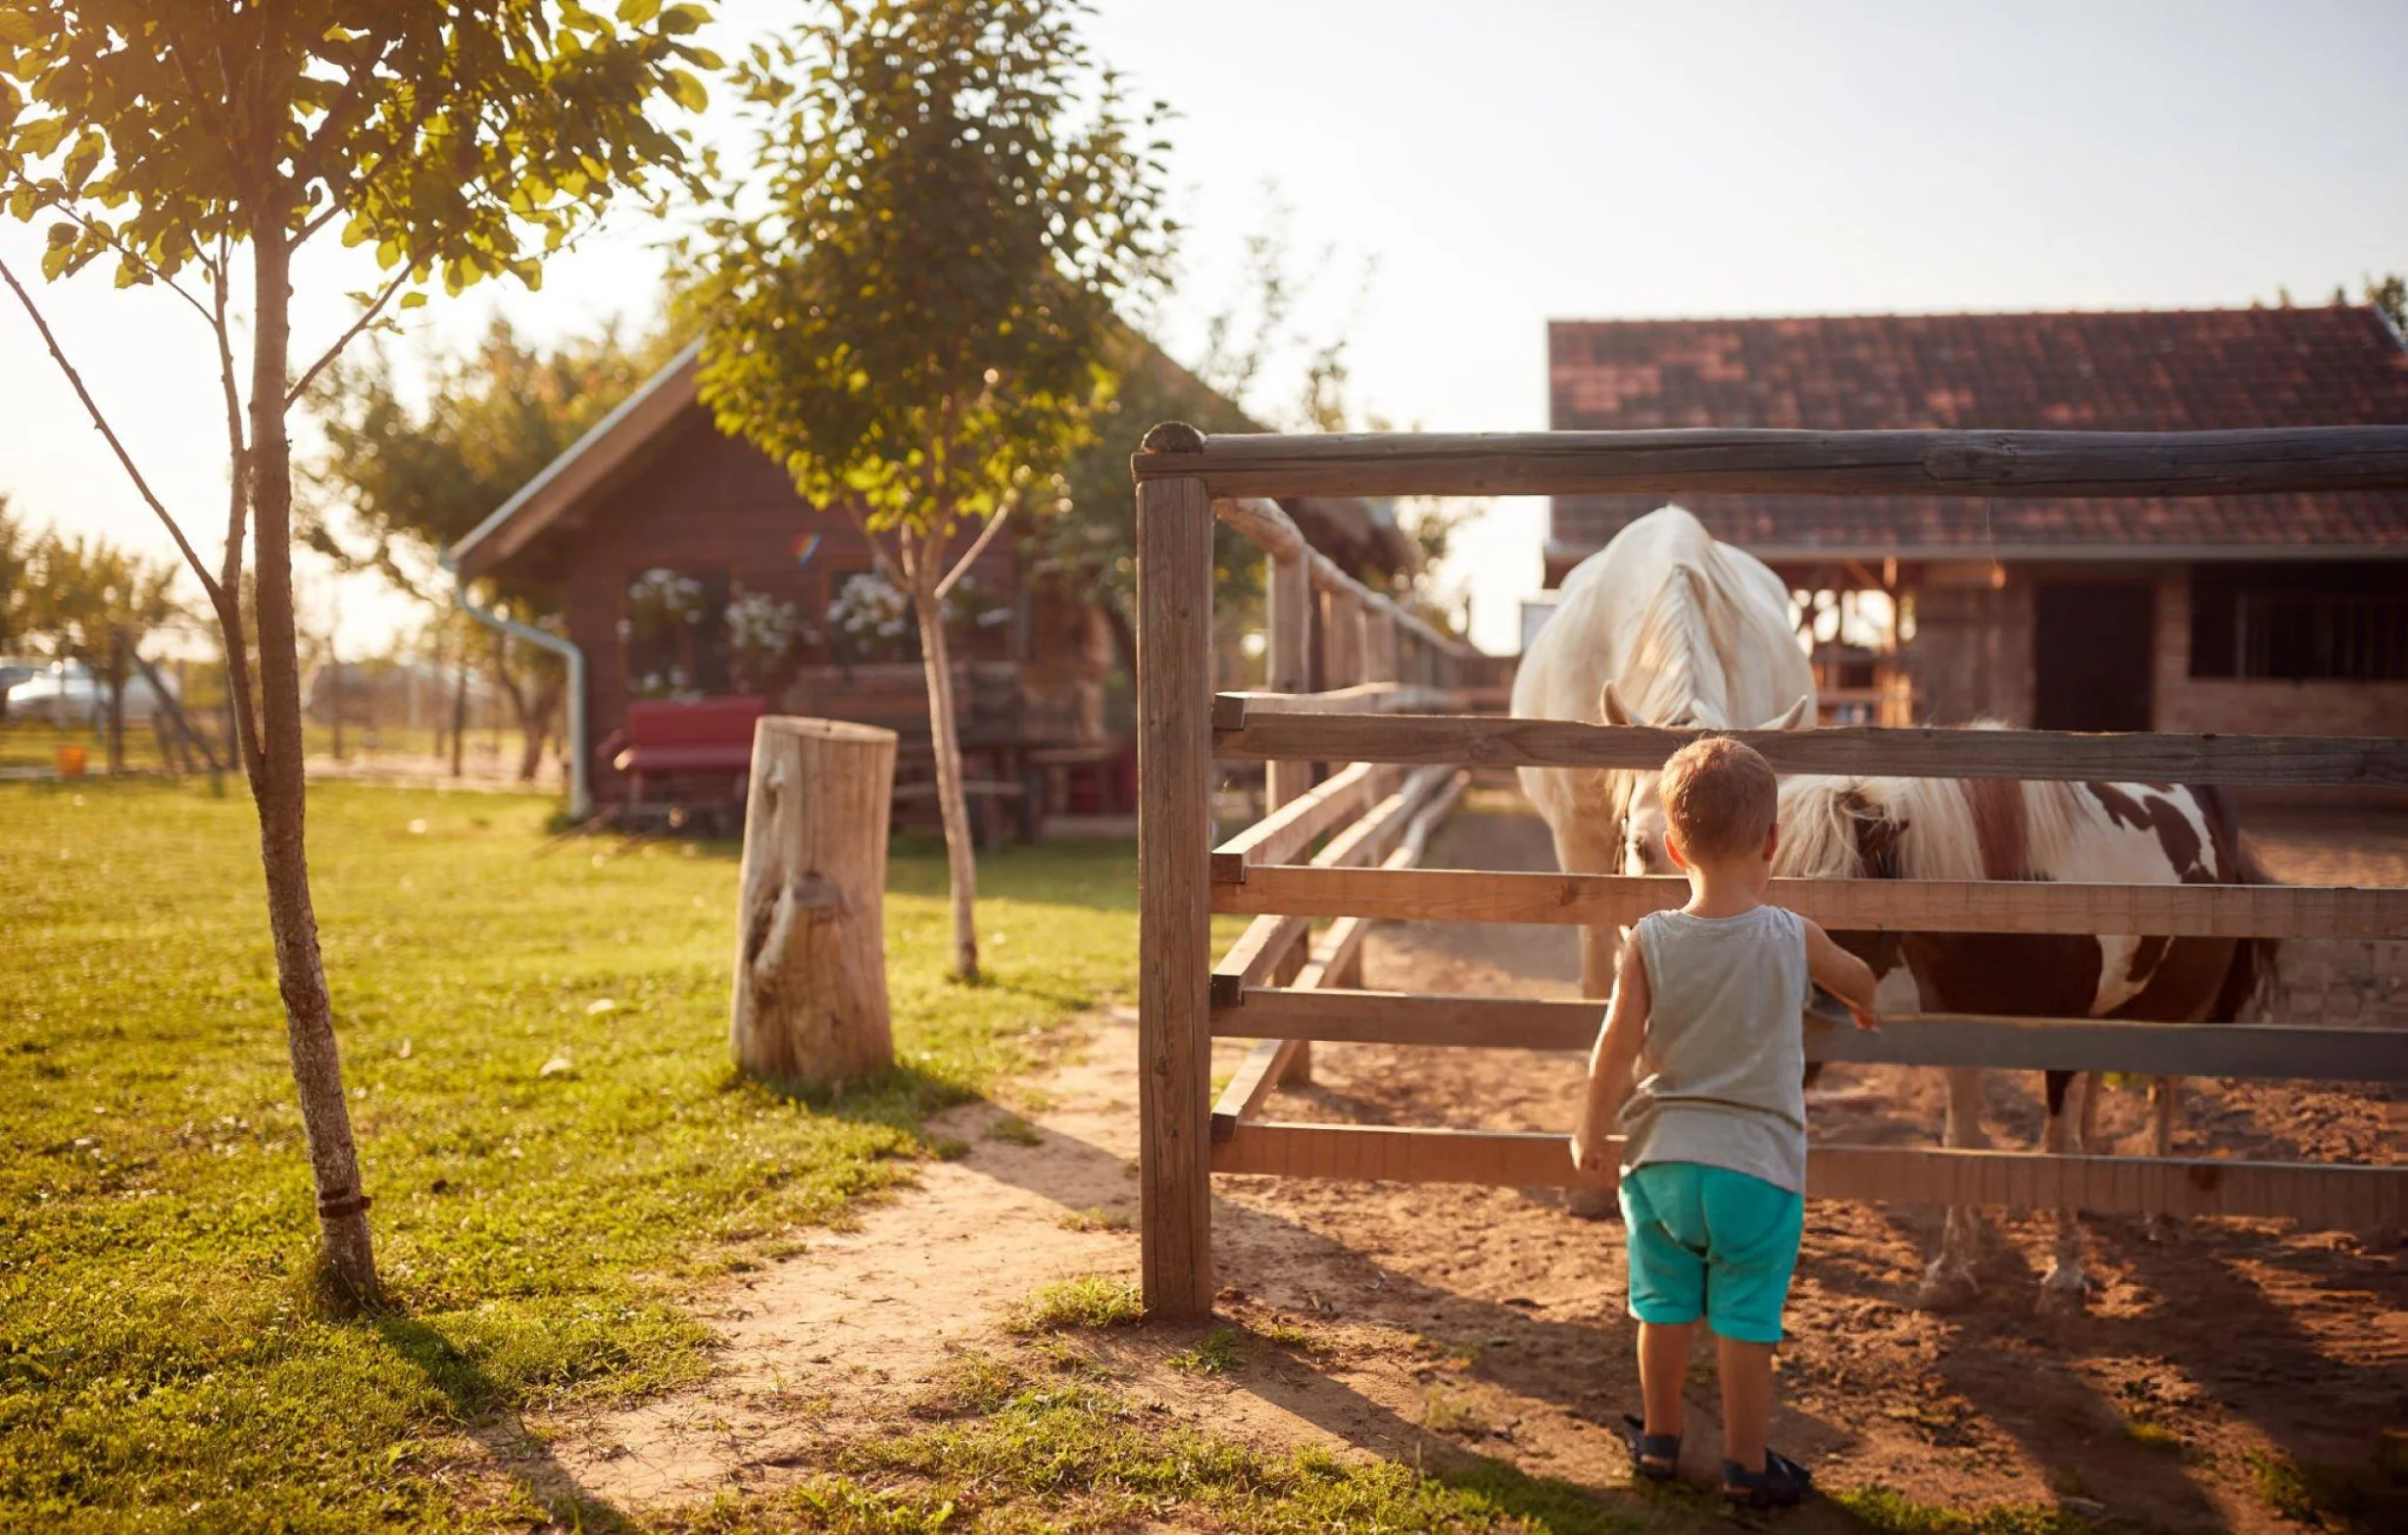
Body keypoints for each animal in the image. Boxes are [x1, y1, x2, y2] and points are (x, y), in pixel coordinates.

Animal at [1772, 766, 2273, 1301]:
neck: (2012, 896)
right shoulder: (1958, 1032)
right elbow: (1962, 1141)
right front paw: (1951, 1269)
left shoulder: (2062, 1035)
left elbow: (2057, 1146)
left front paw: (2066, 1272)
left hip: (2179, 1008)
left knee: (2164, 1090)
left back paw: (2160, 1214)